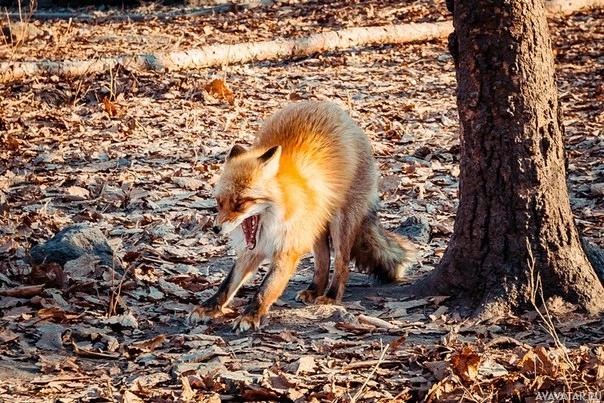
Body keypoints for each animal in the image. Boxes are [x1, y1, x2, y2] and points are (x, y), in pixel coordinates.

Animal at [189, 101, 416, 332]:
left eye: (240, 203)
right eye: (219, 203)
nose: (216, 229)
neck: (271, 222)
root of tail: (331, 107)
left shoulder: (287, 249)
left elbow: (265, 288)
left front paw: (250, 316)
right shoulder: (250, 250)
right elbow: (228, 283)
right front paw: (209, 307)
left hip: (340, 224)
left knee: (341, 263)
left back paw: (331, 295)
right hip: (314, 227)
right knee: (323, 260)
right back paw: (315, 290)